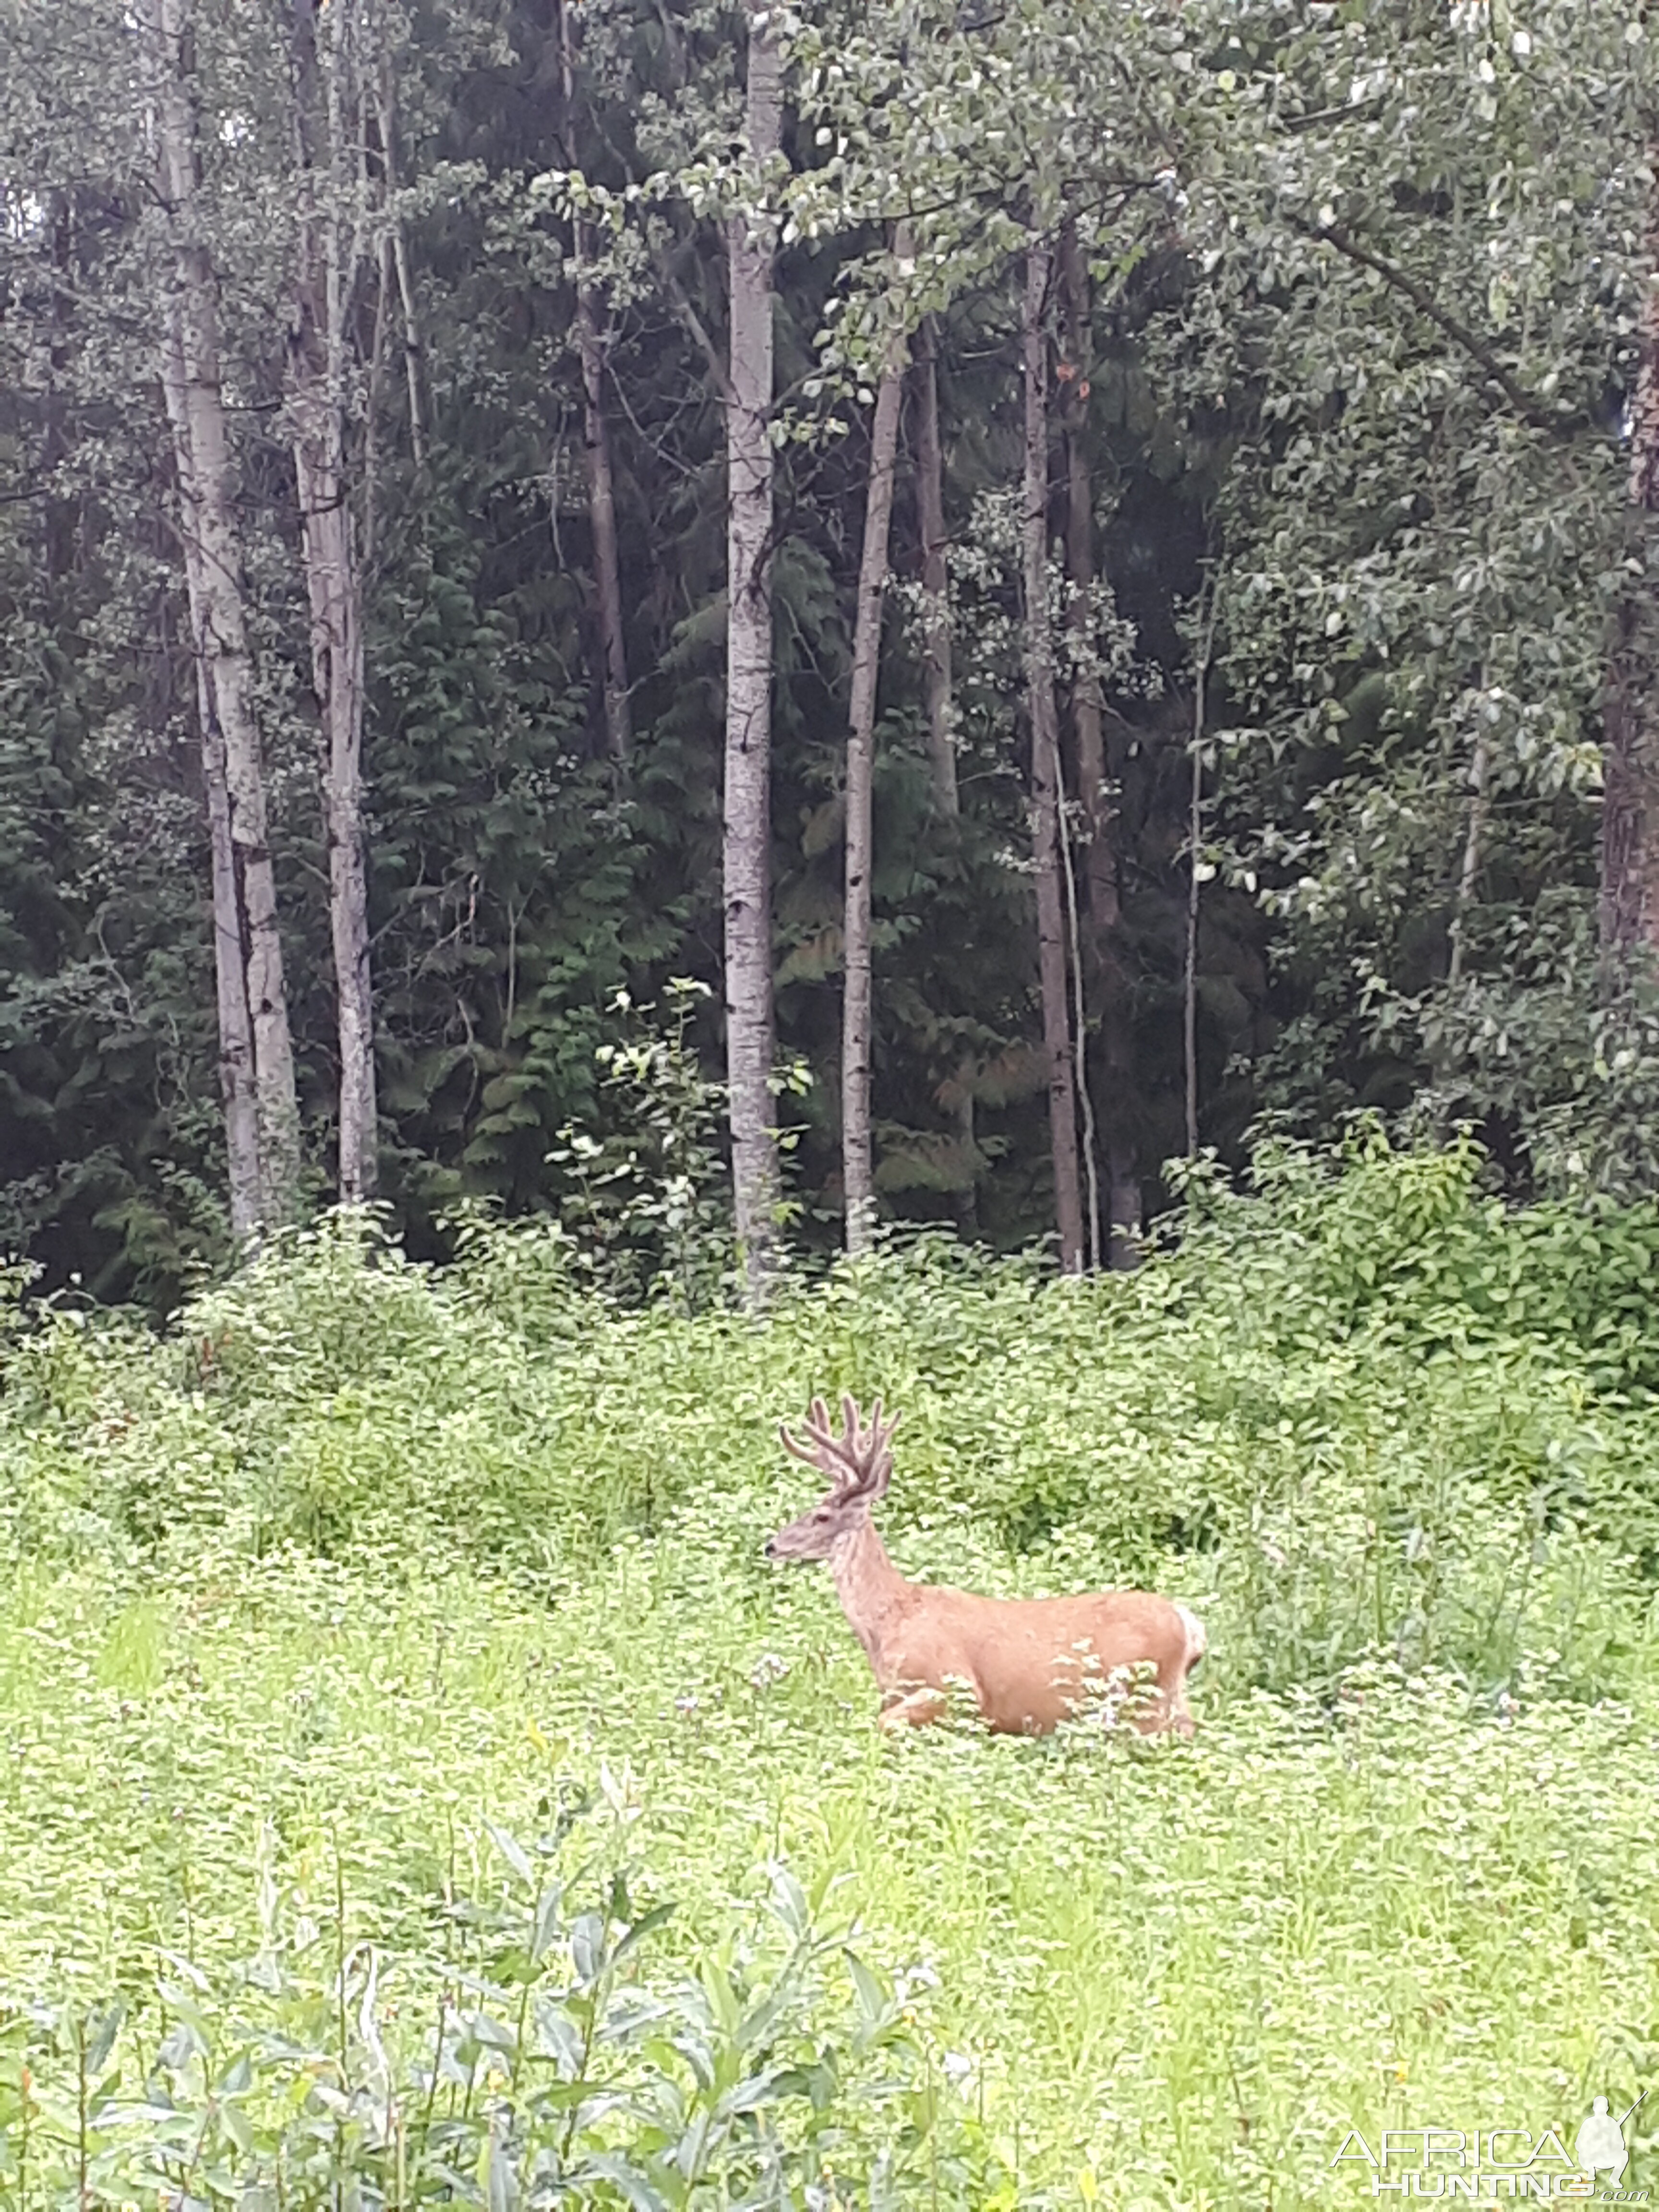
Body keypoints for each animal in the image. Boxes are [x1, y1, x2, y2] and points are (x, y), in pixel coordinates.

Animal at [765, 1398, 1212, 1743]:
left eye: (822, 1516)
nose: (772, 1545)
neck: (891, 1621)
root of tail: (1188, 1624)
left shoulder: (956, 1685)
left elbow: (884, 1722)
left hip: (1141, 1693)